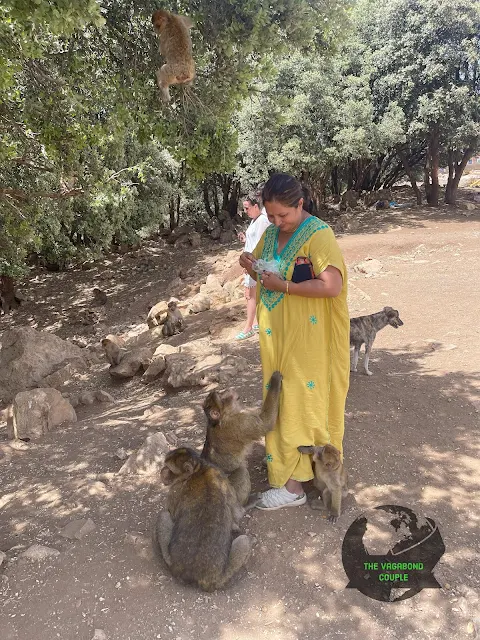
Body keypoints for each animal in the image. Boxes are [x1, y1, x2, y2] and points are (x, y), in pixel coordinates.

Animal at [153, 448, 251, 592]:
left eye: (169, 468)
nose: (162, 471)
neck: (198, 469)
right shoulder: (219, 474)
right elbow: (237, 513)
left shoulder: (176, 489)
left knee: (163, 515)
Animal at [202, 370, 284, 504]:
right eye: (222, 396)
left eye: (220, 393)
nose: (228, 390)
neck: (220, 419)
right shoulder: (238, 423)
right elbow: (265, 423)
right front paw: (275, 381)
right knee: (241, 471)